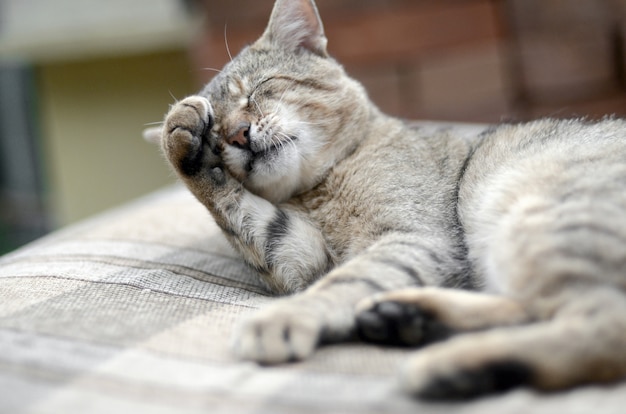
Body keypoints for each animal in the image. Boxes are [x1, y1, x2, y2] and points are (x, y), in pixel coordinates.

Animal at [145, 0, 624, 402]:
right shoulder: (304, 255)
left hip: (543, 215)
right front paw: (180, 137)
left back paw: (448, 362)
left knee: (599, 327)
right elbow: (244, 216)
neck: (323, 186)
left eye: (259, 88)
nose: (236, 134)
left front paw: (283, 318)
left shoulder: (414, 237)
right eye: (217, 134)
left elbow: (344, 282)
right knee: (542, 312)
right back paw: (409, 318)